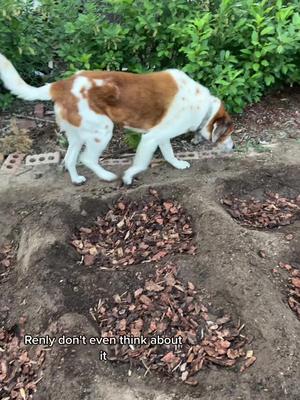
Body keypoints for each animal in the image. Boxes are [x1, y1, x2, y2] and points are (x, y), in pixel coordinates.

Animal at [0, 52, 234, 185]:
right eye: (228, 134)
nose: (233, 147)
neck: (204, 107)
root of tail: (61, 85)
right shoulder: (151, 138)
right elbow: (141, 163)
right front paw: (129, 177)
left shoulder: (161, 136)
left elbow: (168, 153)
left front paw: (177, 164)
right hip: (102, 131)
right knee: (87, 158)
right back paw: (106, 176)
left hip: (78, 135)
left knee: (69, 159)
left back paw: (76, 179)